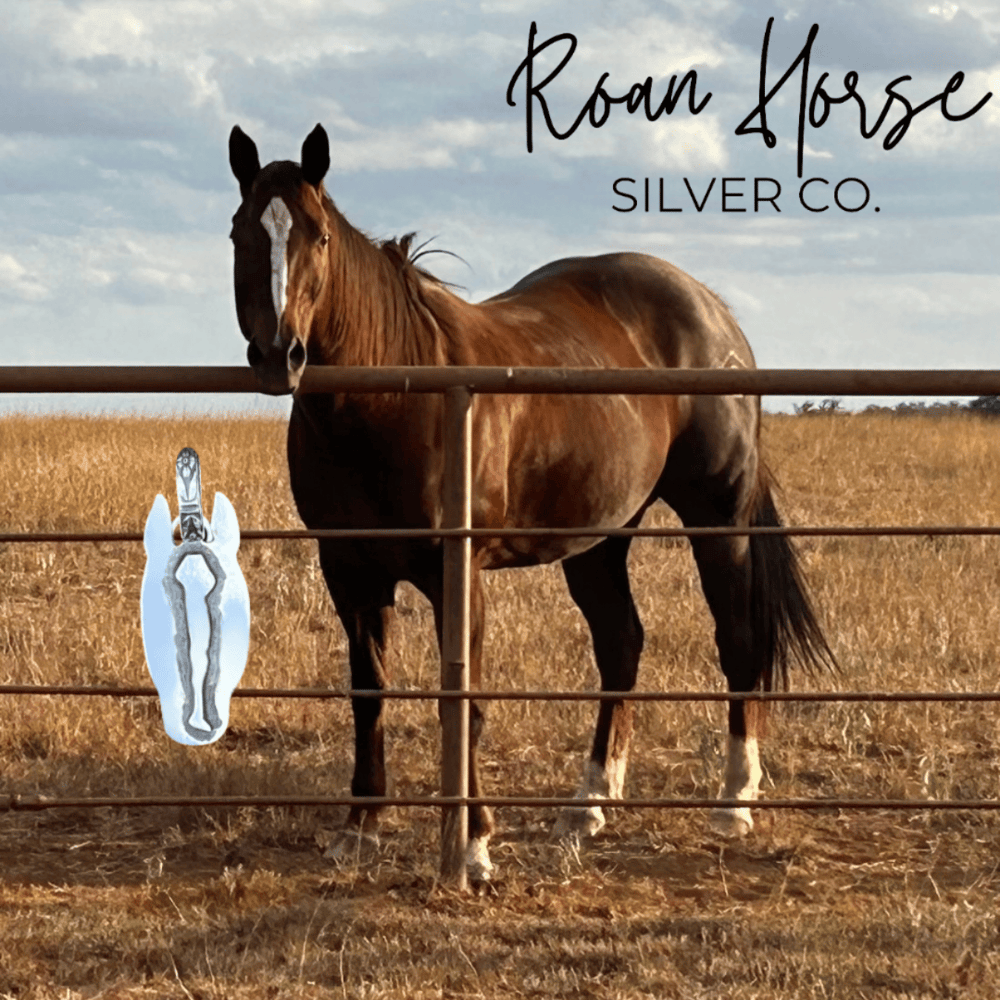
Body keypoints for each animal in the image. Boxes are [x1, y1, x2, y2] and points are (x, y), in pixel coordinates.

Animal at [227, 123, 835, 881]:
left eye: (319, 235)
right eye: (240, 232)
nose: (279, 354)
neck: (396, 398)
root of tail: (713, 311)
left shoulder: (456, 575)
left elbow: (464, 703)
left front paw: (474, 844)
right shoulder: (350, 575)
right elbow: (368, 696)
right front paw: (360, 827)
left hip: (718, 520)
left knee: (738, 638)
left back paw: (734, 800)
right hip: (601, 537)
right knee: (621, 645)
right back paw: (590, 804)